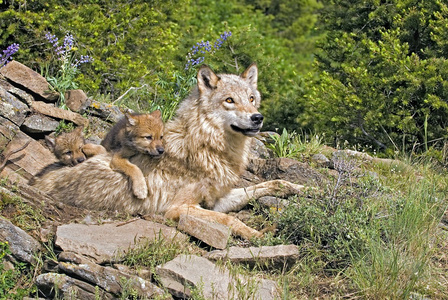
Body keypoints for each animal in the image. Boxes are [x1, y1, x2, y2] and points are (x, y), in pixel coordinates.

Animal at [31, 63, 304, 239]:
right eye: (229, 100)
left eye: (251, 99)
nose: (258, 118)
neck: (209, 148)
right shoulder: (179, 208)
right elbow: (231, 219)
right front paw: (259, 236)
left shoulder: (216, 200)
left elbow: (271, 184)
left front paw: (301, 188)